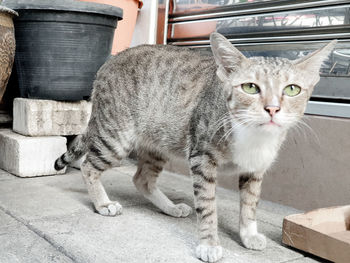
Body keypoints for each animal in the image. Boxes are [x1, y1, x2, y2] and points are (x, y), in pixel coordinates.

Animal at [54, 33, 336, 263]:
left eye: (292, 89)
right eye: (250, 87)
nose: (273, 108)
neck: (254, 136)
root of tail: (107, 63)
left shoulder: (256, 167)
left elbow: (250, 203)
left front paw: (248, 235)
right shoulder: (202, 158)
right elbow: (208, 205)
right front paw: (209, 244)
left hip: (159, 143)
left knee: (142, 179)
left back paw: (170, 207)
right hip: (116, 136)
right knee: (89, 166)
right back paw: (103, 203)